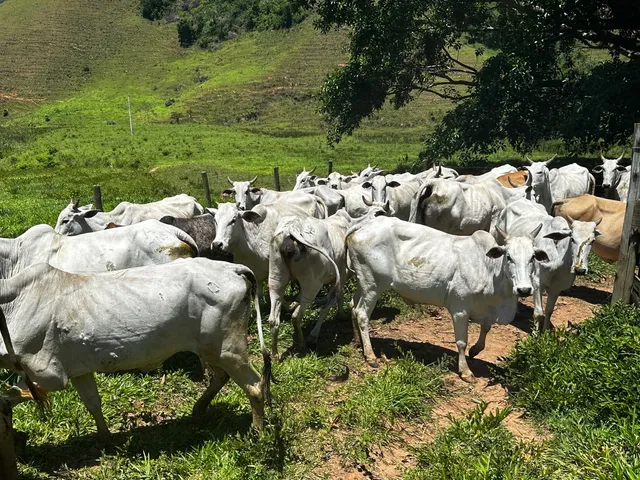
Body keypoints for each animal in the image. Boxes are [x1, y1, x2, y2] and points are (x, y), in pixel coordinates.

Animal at [0, 258, 271, 445]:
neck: (15, 304)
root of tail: (232, 268)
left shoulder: (49, 372)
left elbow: (16, 393)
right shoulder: (79, 370)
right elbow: (93, 403)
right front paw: (105, 439)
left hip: (229, 348)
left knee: (255, 386)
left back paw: (257, 434)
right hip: (209, 349)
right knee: (221, 376)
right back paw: (198, 411)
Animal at [267, 205, 392, 357]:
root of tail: (292, 229)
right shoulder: (341, 277)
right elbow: (332, 302)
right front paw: (315, 335)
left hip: (276, 280)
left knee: (273, 319)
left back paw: (274, 354)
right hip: (312, 285)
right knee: (296, 316)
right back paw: (302, 344)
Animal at [346, 216, 550, 379]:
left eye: (533, 257)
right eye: (508, 257)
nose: (524, 289)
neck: (488, 268)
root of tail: (364, 225)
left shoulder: (487, 309)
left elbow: (485, 328)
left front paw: (475, 350)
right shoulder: (460, 309)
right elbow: (461, 341)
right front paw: (465, 371)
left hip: (363, 284)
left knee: (353, 306)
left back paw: (357, 342)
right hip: (372, 284)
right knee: (362, 313)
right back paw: (370, 356)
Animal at [497, 198, 600, 330]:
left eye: (592, 241)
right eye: (572, 238)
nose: (580, 270)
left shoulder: (556, 287)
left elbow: (549, 311)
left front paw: (546, 332)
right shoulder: (537, 282)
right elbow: (538, 314)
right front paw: (535, 335)